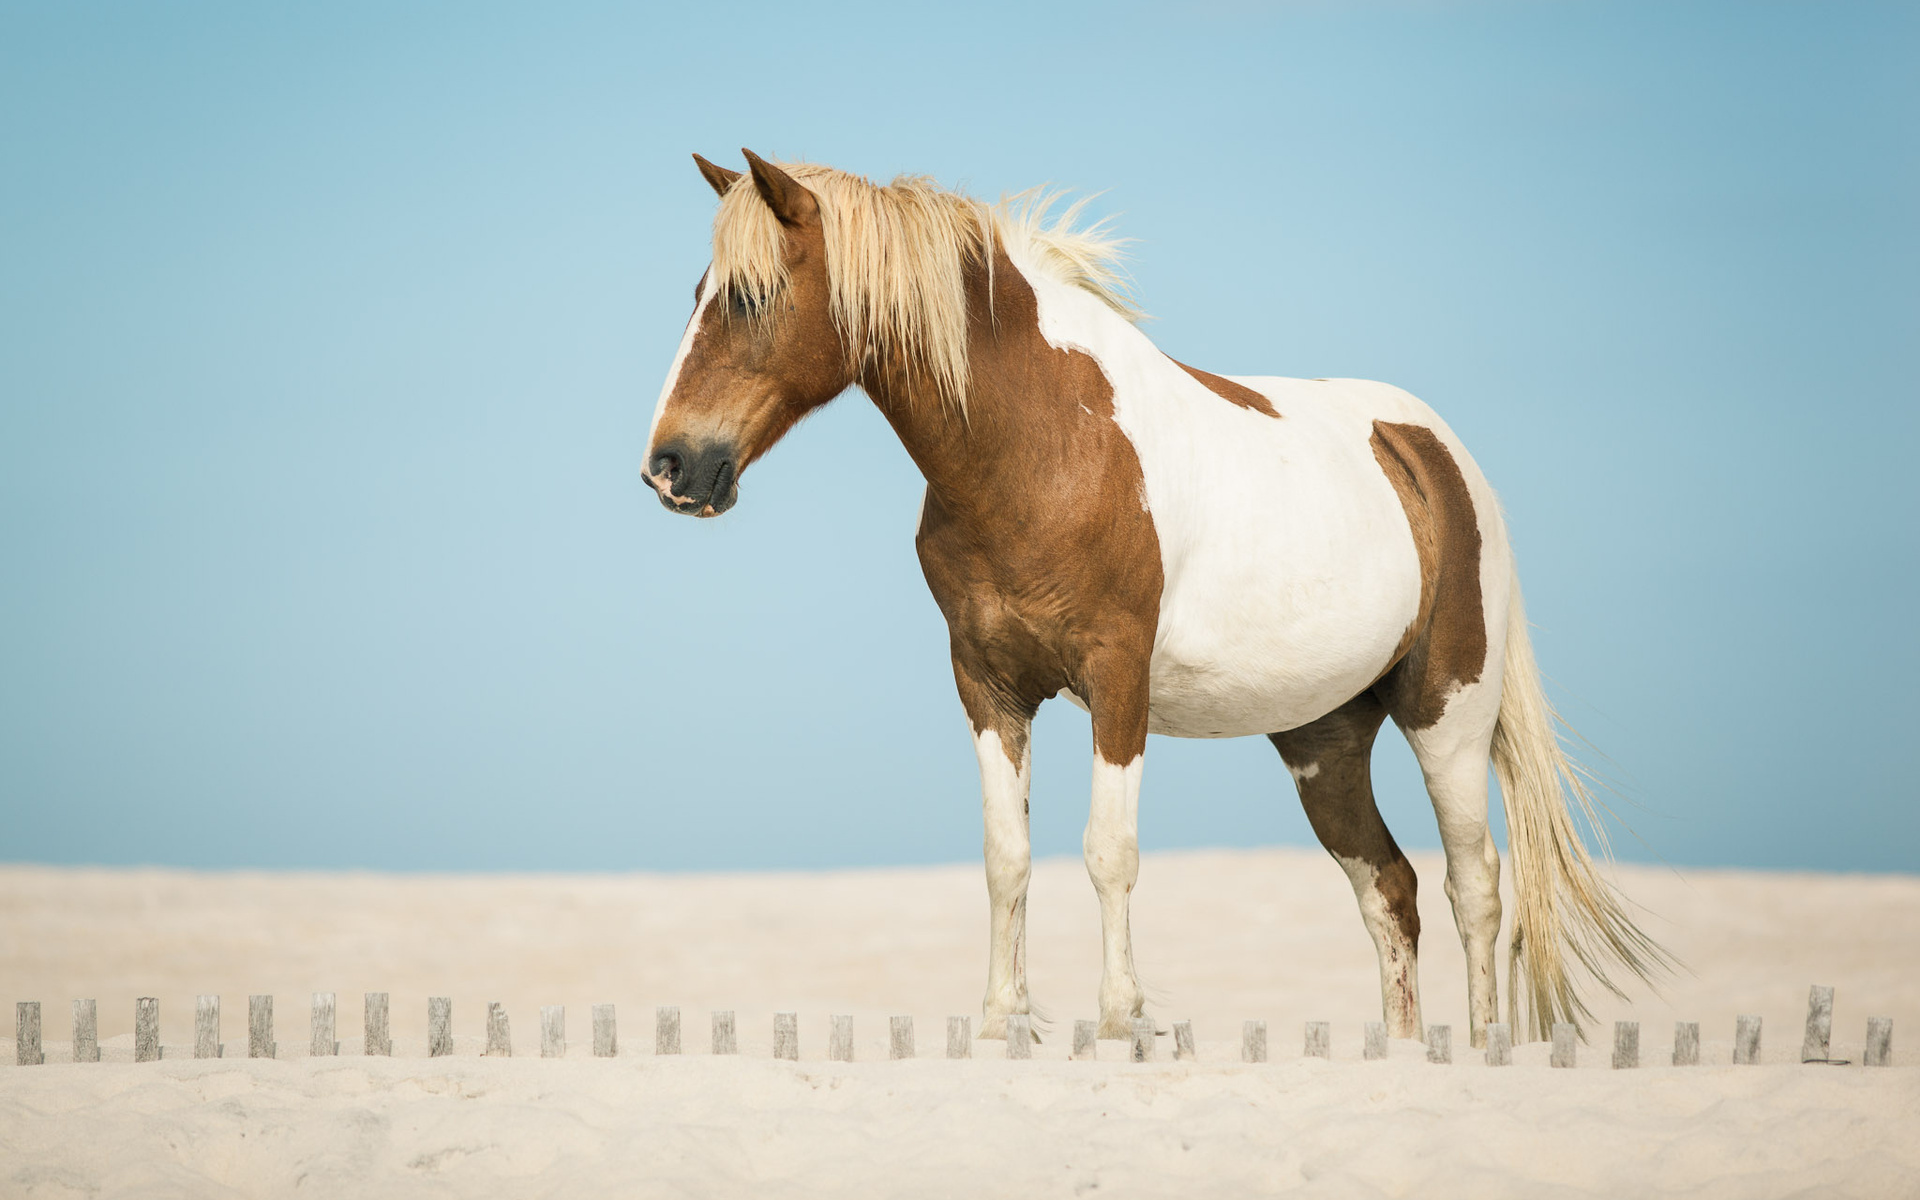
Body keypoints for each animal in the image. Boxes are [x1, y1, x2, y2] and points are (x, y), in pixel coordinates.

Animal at [645, 149, 1666, 1044]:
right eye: (698, 293)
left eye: (749, 295)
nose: (671, 467)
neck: (1045, 443)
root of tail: (1434, 451)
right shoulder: (987, 686)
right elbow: (1006, 859)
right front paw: (1000, 1026)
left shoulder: (1117, 679)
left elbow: (1110, 853)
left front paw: (1118, 1024)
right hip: (1324, 742)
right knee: (1390, 891)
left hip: (1448, 713)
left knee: (1475, 885)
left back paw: (1486, 1043)